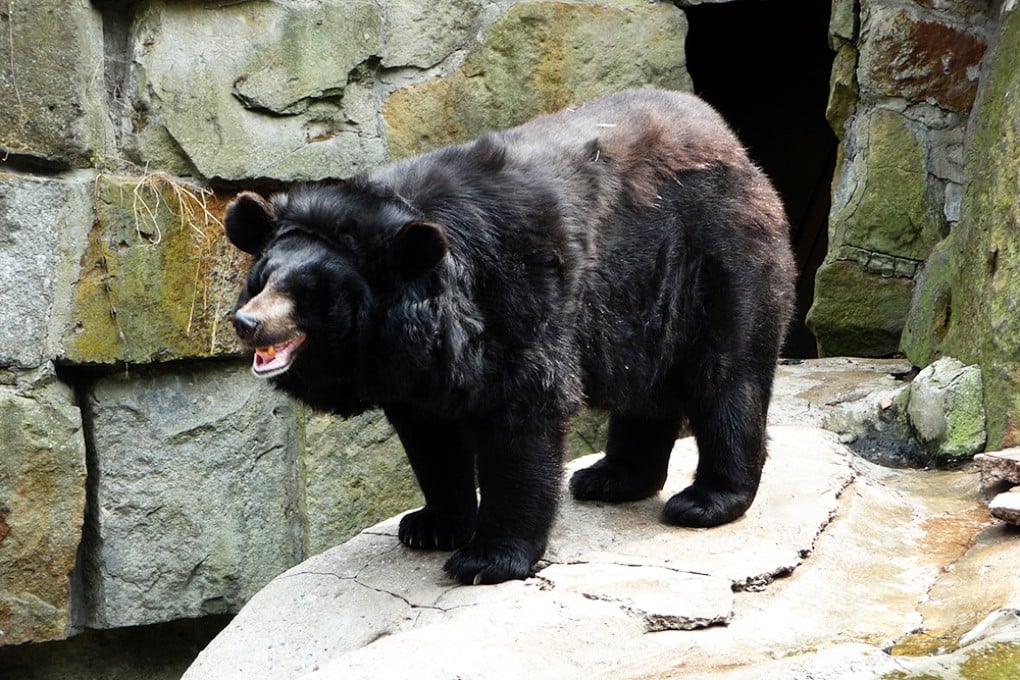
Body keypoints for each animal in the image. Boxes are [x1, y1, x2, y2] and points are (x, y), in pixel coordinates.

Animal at [223, 88, 796, 586]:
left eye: (307, 291)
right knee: (646, 384)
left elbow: (524, 411)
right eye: (264, 278)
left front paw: (485, 559)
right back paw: (610, 478)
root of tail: (735, 145)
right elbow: (430, 436)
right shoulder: (413, 365)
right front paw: (431, 525)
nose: (247, 323)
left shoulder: (515, 291)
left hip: (719, 257)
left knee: (727, 375)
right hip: (643, 293)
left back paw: (704, 500)